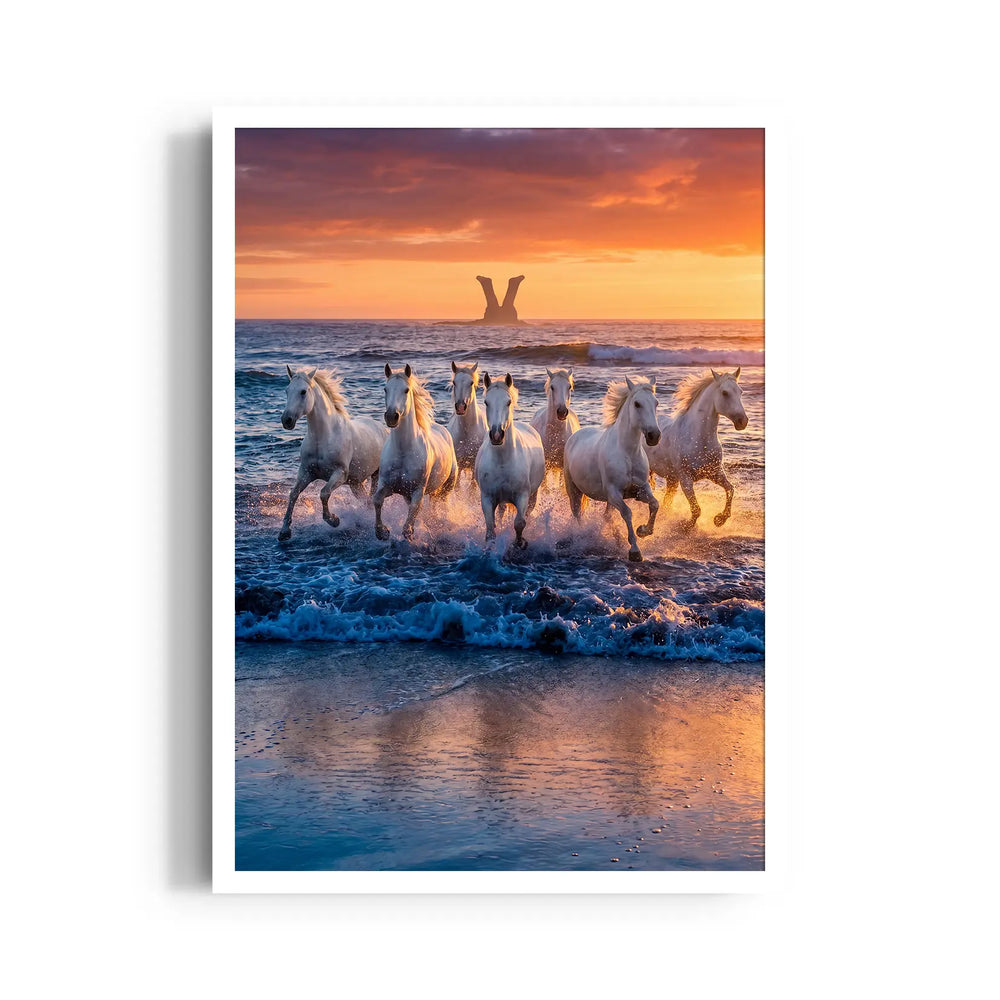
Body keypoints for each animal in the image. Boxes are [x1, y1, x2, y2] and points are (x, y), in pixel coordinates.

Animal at [277, 366, 387, 541]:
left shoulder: (339, 473)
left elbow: (324, 493)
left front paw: (334, 520)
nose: (286, 420)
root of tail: (381, 428)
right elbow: (293, 494)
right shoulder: (306, 472)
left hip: (375, 475)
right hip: (355, 483)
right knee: (366, 501)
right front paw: (284, 531)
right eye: (287, 390)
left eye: (303, 391)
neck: (322, 437)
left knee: (371, 497)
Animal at [373, 363, 458, 541]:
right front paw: (382, 532)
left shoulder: (418, 490)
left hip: (447, 487)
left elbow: (414, 509)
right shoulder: (388, 485)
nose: (391, 416)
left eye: (406, 390)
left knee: (441, 505)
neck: (403, 452)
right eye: (385, 389)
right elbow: (376, 500)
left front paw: (409, 532)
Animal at [474, 372, 545, 549]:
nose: (497, 434)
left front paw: (520, 542)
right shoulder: (487, 498)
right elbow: (490, 529)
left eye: (508, 402)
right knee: (500, 512)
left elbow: (519, 523)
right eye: (486, 402)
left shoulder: (522, 496)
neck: (502, 461)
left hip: (532, 496)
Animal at [563, 375, 661, 561]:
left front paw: (643, 530)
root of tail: (575, 436)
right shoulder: (614, 492)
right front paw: (635, 551)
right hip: (574, 491)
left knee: (606, 516)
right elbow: (627, 513)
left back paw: (618, 541)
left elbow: (654, 504)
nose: (654, 436)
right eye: (637, 403)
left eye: (656, 402)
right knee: (578, 514)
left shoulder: (640, 490)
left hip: (609, 500)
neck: (627, 453)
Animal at [645, 367, 748, 530]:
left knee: (667, 502)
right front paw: (686, 527)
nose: (742, 421)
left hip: (671, 479)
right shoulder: (686, 479)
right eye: (725, 393)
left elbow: (730, 489)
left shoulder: (715, 473)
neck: (700, 439)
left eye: (740, 391)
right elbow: (696, 509)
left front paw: (719, 519)